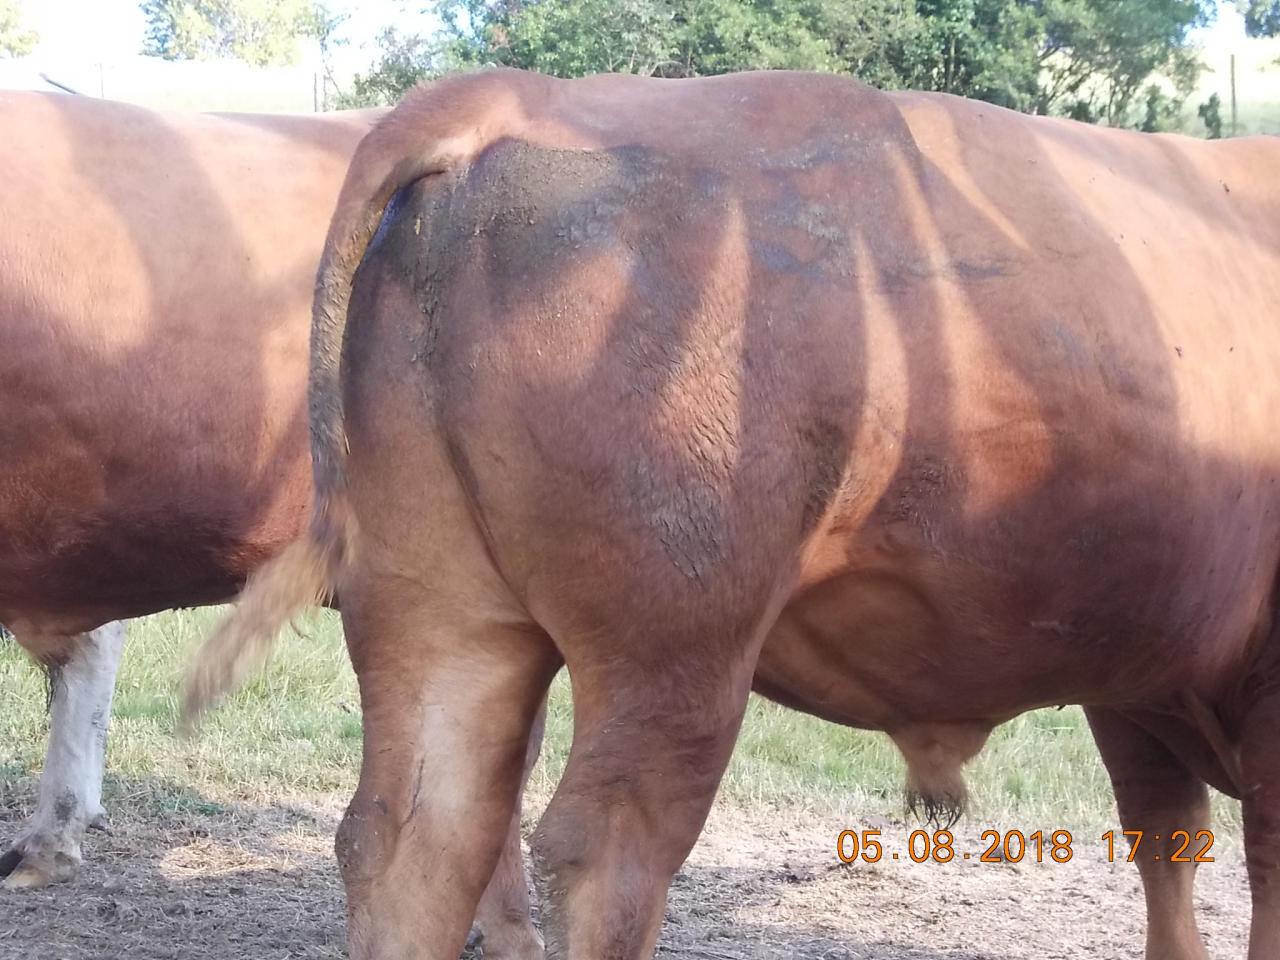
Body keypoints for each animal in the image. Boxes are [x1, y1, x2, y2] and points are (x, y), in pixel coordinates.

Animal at [185, 68, 1280, 960]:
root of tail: (511, 95)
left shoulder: (1138, 679)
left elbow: (1168, 854)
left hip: (441, 614)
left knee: (411, 839)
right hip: (675, 652)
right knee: (603, 857)